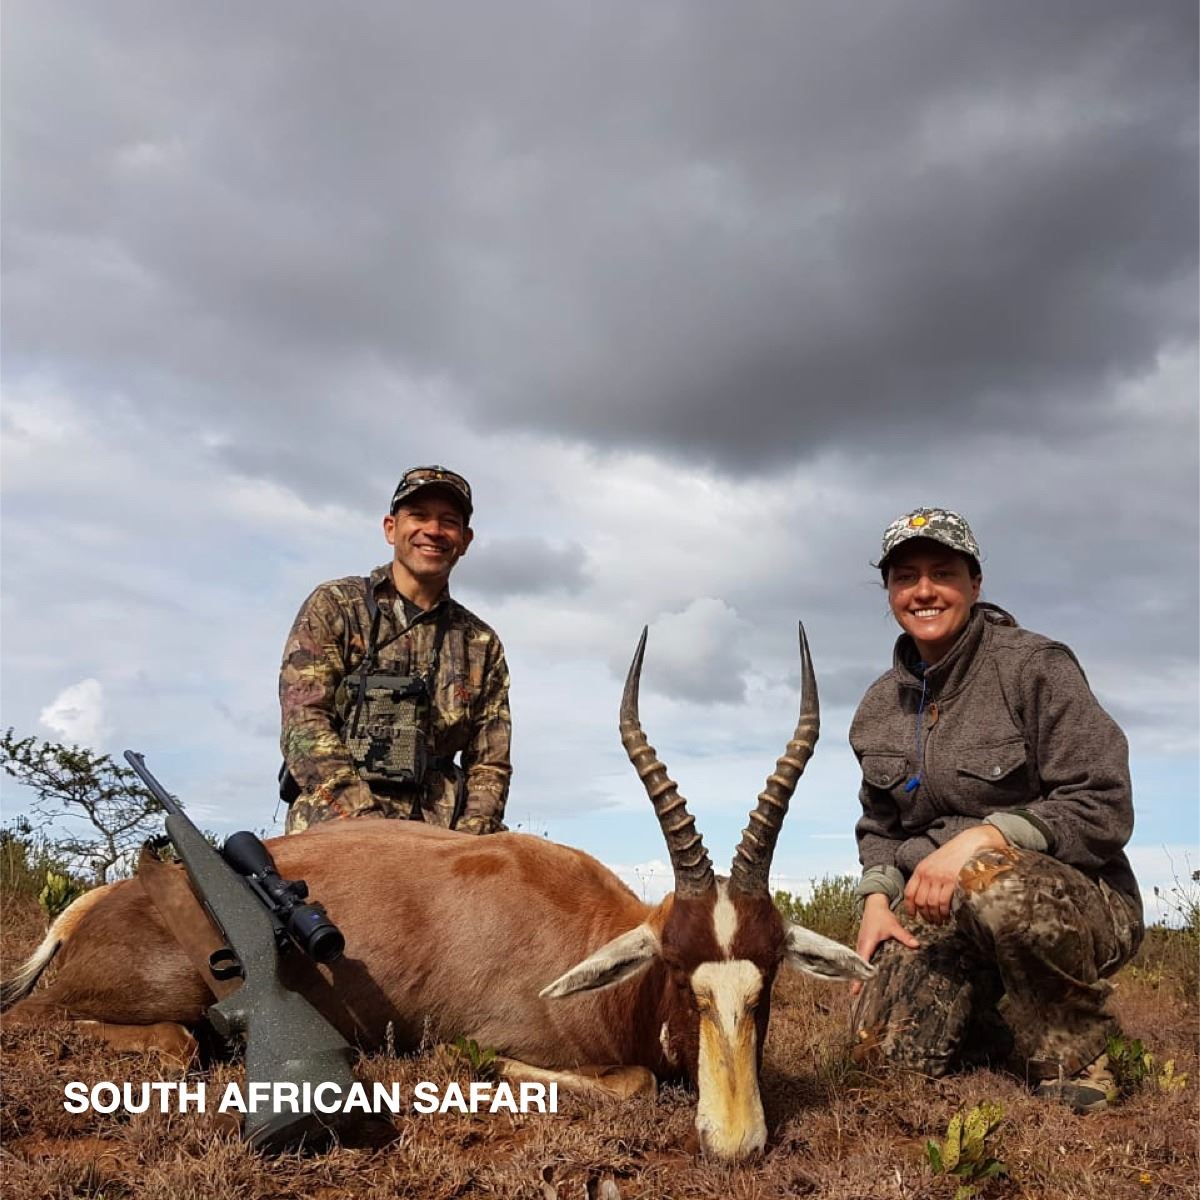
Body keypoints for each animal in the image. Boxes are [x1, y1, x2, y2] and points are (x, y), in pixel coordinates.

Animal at [2, 626, 871, 1161]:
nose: (736, 1143)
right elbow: (626, 1082)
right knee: (157, 1040)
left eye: (769, 978)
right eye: (680, 973)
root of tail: (89, 909)